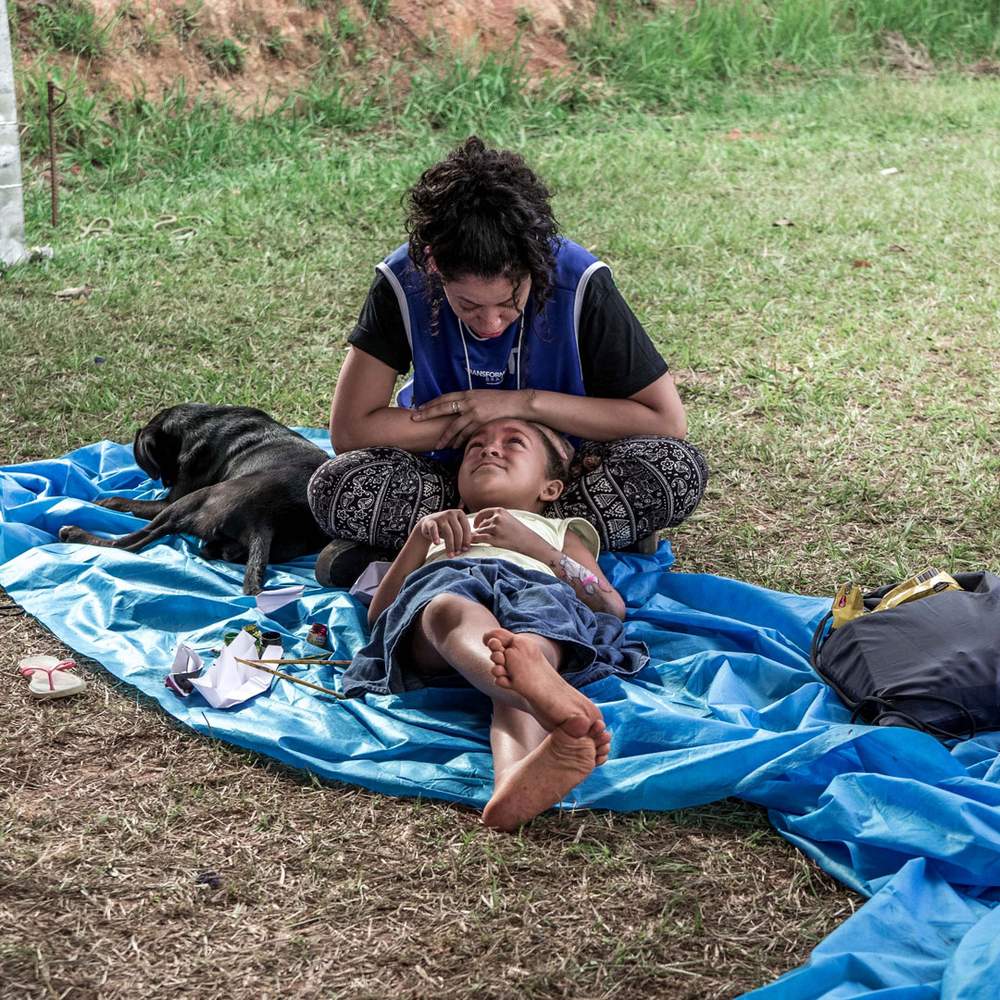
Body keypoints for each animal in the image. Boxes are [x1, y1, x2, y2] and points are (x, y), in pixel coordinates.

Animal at [58, 406, 330, 592]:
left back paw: (73, 532)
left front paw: (104, 501)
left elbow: (126, 503)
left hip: (187, 503)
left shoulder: (170, 499)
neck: (203, 420)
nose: (166, 482)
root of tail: (266, 520)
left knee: (128, 543)